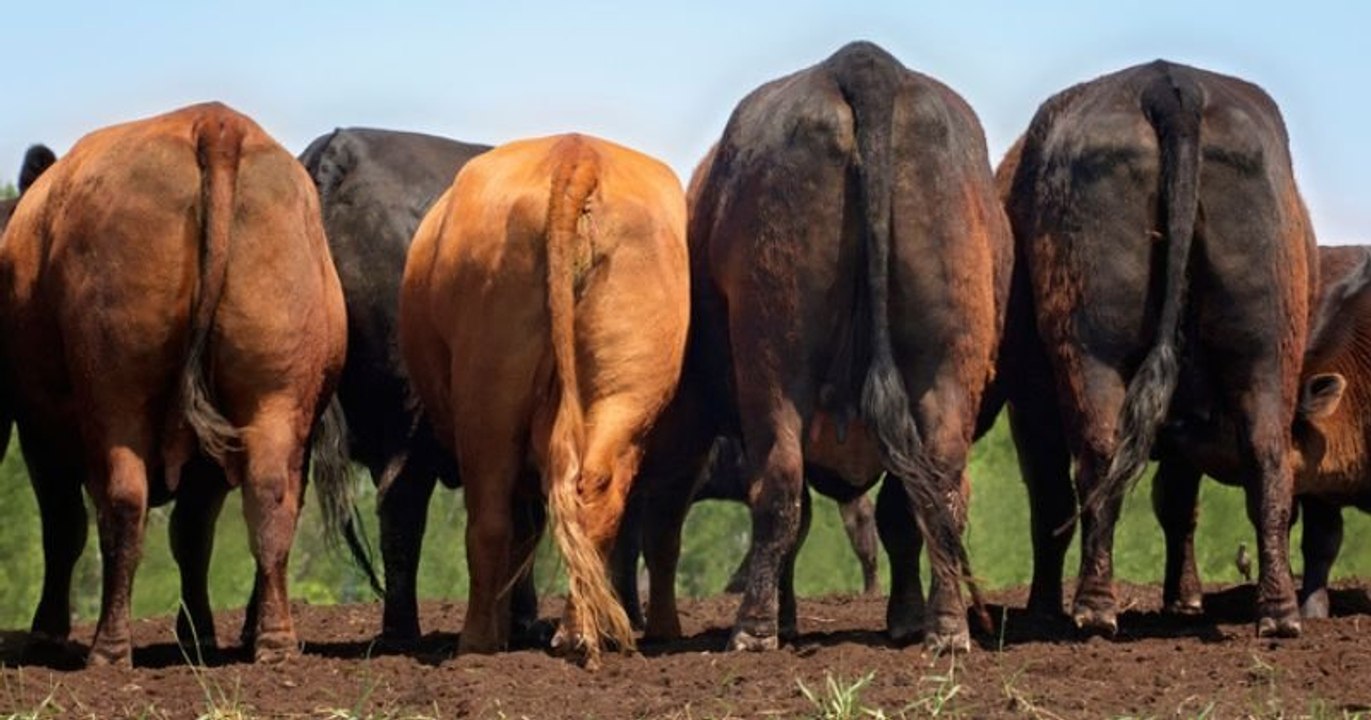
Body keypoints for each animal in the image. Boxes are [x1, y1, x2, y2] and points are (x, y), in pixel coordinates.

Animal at [0, 102, 351, 666]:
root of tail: (216, 123)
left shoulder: (39, 431)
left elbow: (64, 527)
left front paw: (48, 632)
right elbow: (193, 536)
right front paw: (199, 633)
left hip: (116, 394)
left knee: (123, 503)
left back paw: (109, 648)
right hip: (274, 397)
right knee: (270, 497)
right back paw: (274, 643)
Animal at [398, 133, 689, 667]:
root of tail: (577, 151)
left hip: (488, 400)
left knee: (490, 522)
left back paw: (477, 642)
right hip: (623, 393)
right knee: (594, 499)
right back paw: (578, 632)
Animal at [632, 41, 1009, 654]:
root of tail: (864, 62)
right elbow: (898, 513)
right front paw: (906, 617)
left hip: (773, 360)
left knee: (781, 488)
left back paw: (755, 628)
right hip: (947, 363)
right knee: (942, 486)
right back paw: (948, 628)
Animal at [997, 60, 1316, 638]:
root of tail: (1170, 84)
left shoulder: (1028, 408)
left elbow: (1051, 502)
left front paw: (1041, 608)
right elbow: (1178, 503)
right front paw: (1184, 599)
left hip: (1091, 351)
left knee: (1098, 458)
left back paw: (1094, 606)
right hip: (1265, 353)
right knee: (1268, 460)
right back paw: (1278, 612)